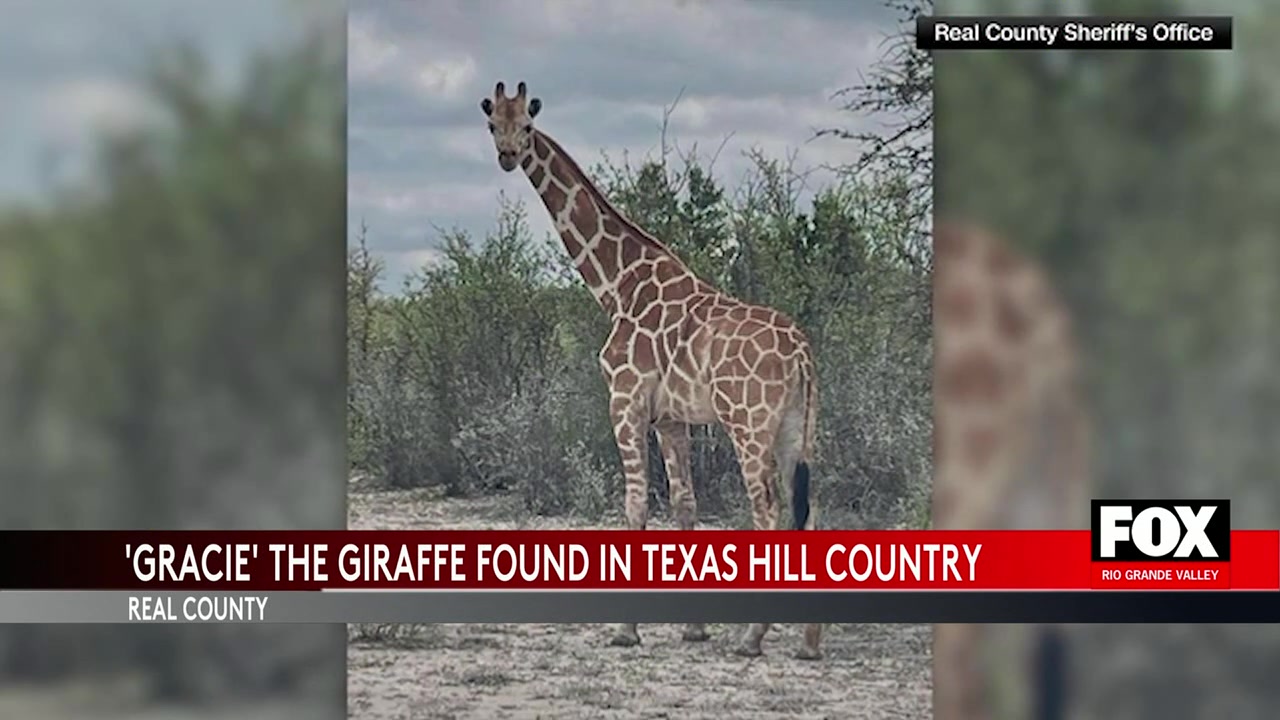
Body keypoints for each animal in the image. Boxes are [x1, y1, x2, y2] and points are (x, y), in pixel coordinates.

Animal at [480, 81, 824, 659]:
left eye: (526, 124)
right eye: (492, 124)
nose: (506, 156)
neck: (616, 285)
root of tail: (801, 351)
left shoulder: (625, 401)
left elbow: (636, 504)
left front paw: (626, 629)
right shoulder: (671, 417)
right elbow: (685, 507)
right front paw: (693, 627)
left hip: (749, 423)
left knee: (768, 509)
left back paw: (752, 636)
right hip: (799, 426)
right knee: (811, 507)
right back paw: (809, 642)